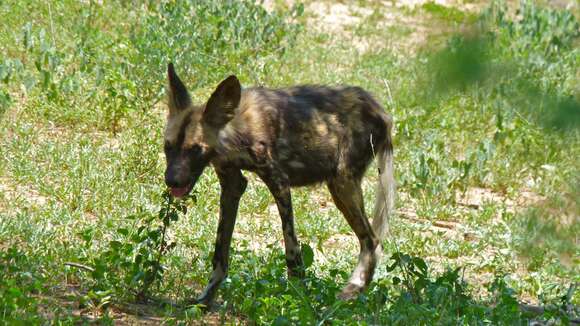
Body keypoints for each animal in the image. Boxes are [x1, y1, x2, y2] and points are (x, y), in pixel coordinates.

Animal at [165, 63, 396, 306]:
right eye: (167, 147)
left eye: (194, 149)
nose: (171, 180)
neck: (235, 130)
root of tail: (380, 110)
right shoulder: (231, 185)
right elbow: (220, 252)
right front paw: (205, 299)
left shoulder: (278, 183)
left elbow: (292, 252)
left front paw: (297, 297)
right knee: (371, 240)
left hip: (342, 184)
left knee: (372, 240)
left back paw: (352, 290)